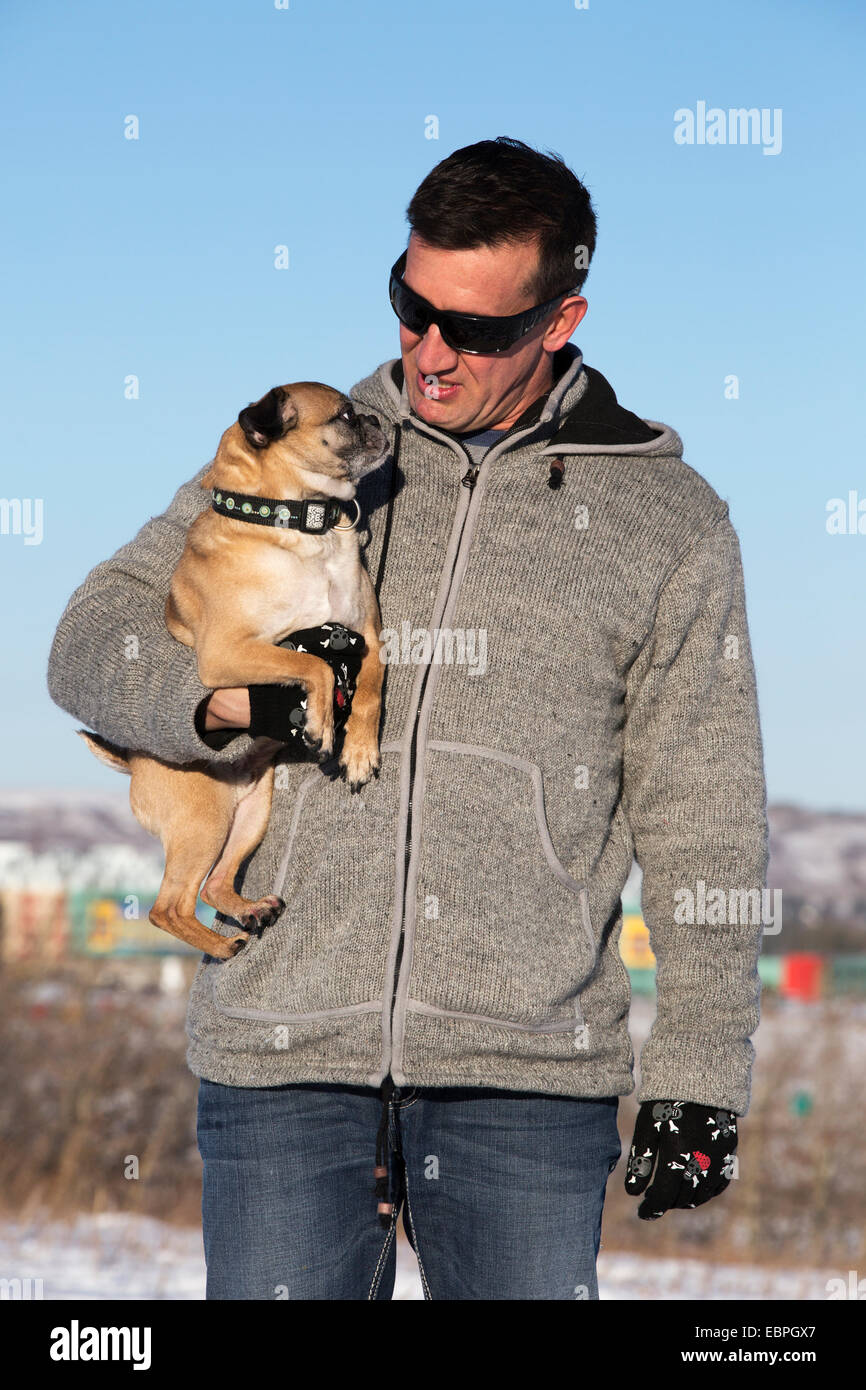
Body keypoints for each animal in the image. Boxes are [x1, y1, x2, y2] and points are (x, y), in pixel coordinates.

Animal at [77, 386, 389, 961]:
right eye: (345, 416)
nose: (378, 420)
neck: (296, 523)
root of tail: (133, 764)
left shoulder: (369, 638)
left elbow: (369, 691)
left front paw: (358, 749)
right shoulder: (228, 653)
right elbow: (311, 662)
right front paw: (319, 722)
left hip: (250, 815)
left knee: (216, 885)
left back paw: (248, 911)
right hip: (204, 823)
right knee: (168, 906)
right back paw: (223, 945)